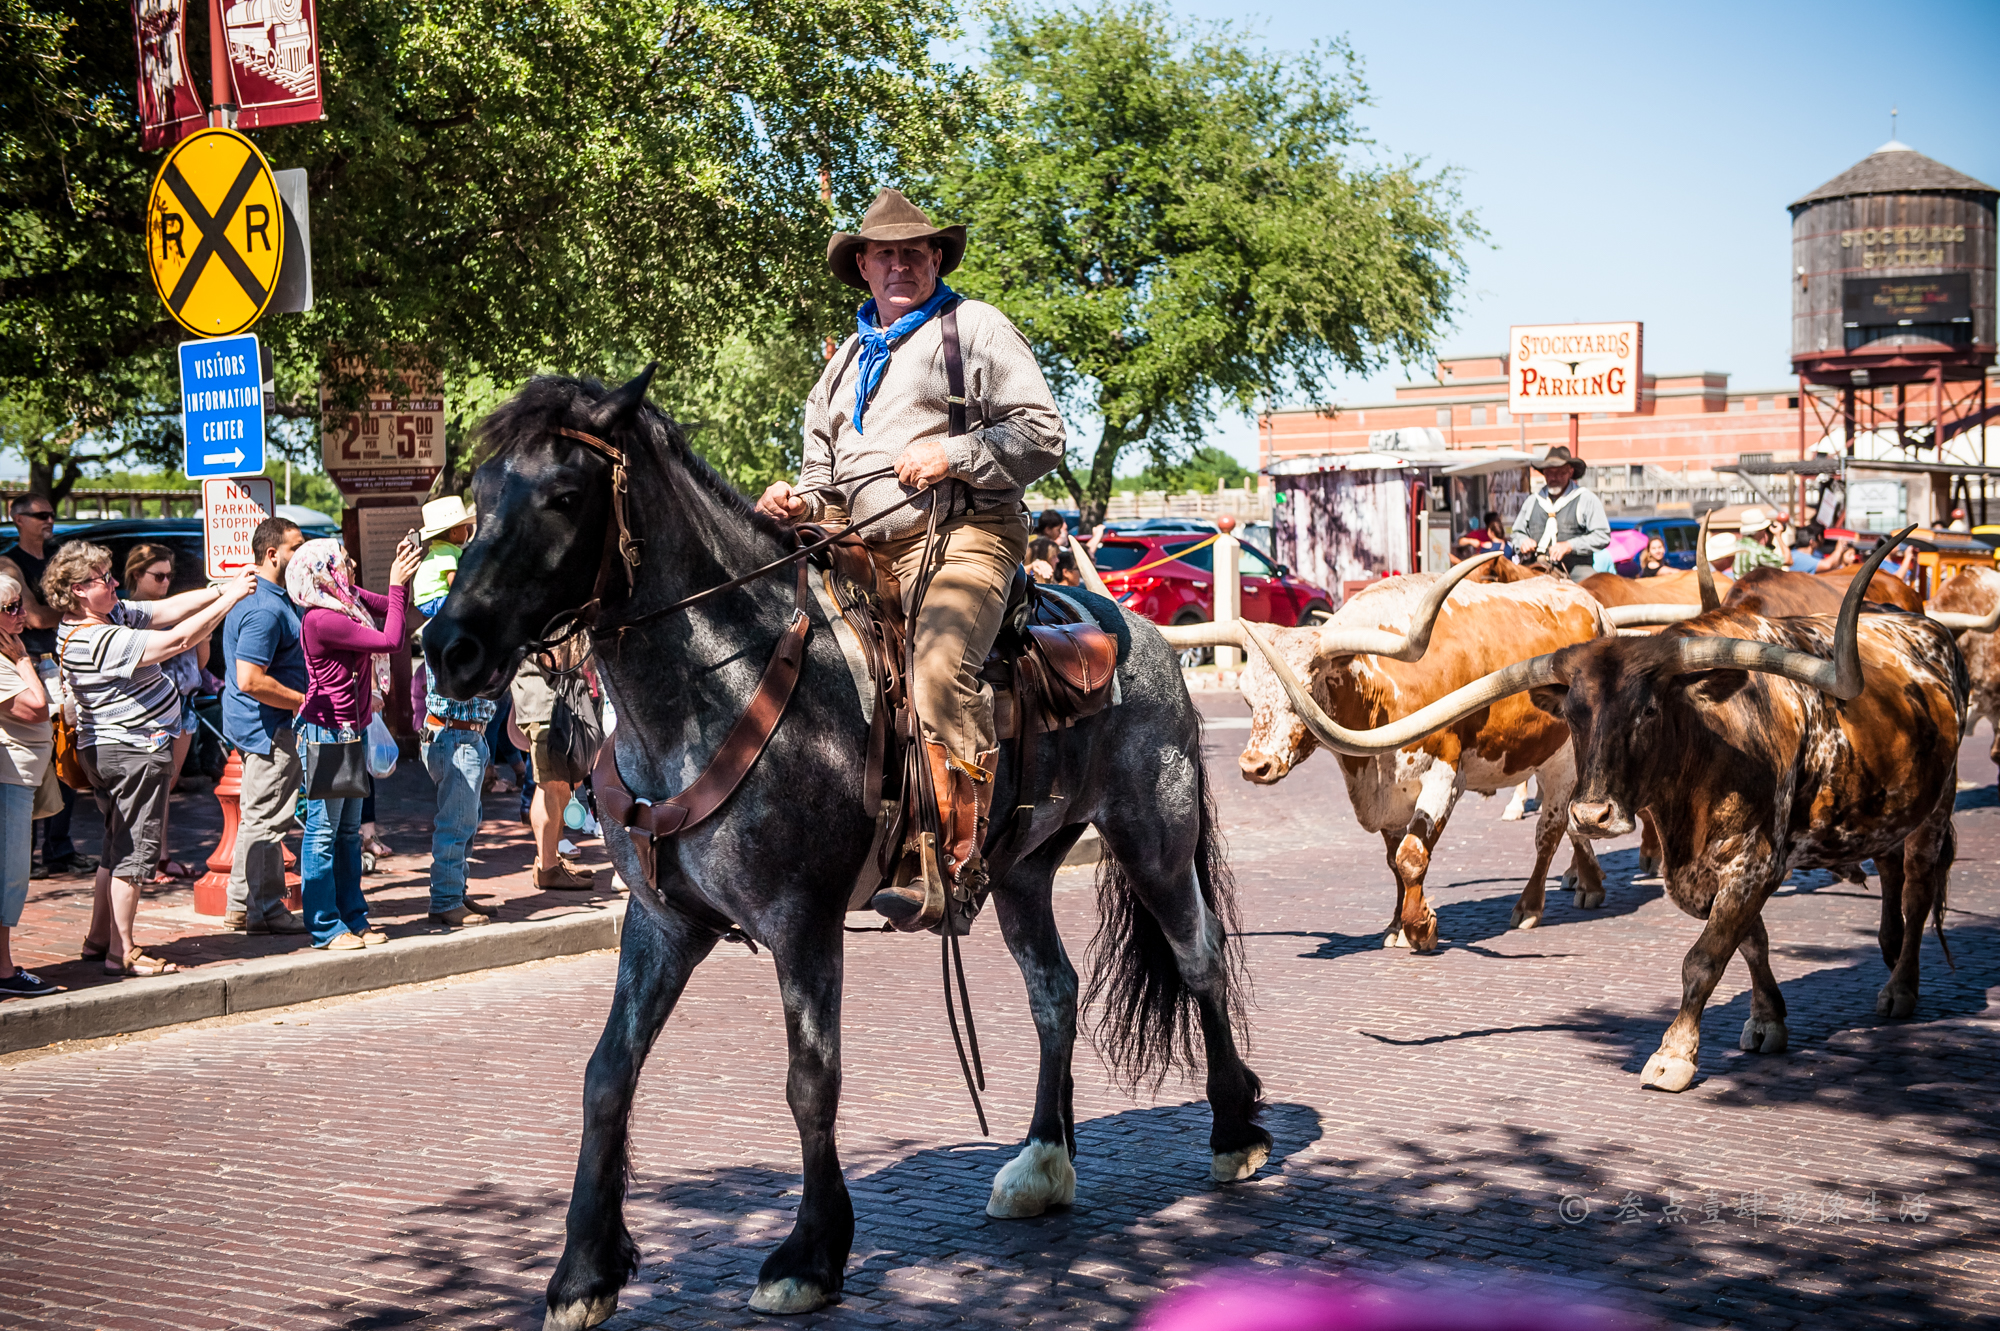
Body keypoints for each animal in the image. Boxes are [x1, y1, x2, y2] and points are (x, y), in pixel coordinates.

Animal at [426, 369, 1264, 1327]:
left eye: (567, 495)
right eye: (481, 494)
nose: (447, 646)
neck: (721, 683)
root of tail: (1144, 635)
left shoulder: (803, 921)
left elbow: (810, 1079)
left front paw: (810, 1253)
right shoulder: (662, 923)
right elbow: (608, 1073)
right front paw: (583, 1271)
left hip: (1154, 835)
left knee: (1198, 957)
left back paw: (1234, 1129)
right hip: (1021, 869)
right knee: (1055, 992)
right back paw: (1042, 1161)